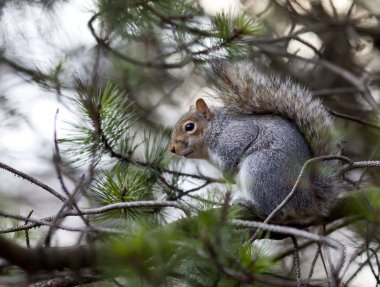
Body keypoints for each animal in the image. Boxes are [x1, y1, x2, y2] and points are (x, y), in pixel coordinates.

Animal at [169, 61, 342, 223]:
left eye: (189, 127)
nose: (172, 149)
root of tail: (308, 203)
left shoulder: (235, 134)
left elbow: (236, 148)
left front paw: (227, 175)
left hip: (260, 168)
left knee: (277, 211)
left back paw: (249, 204)